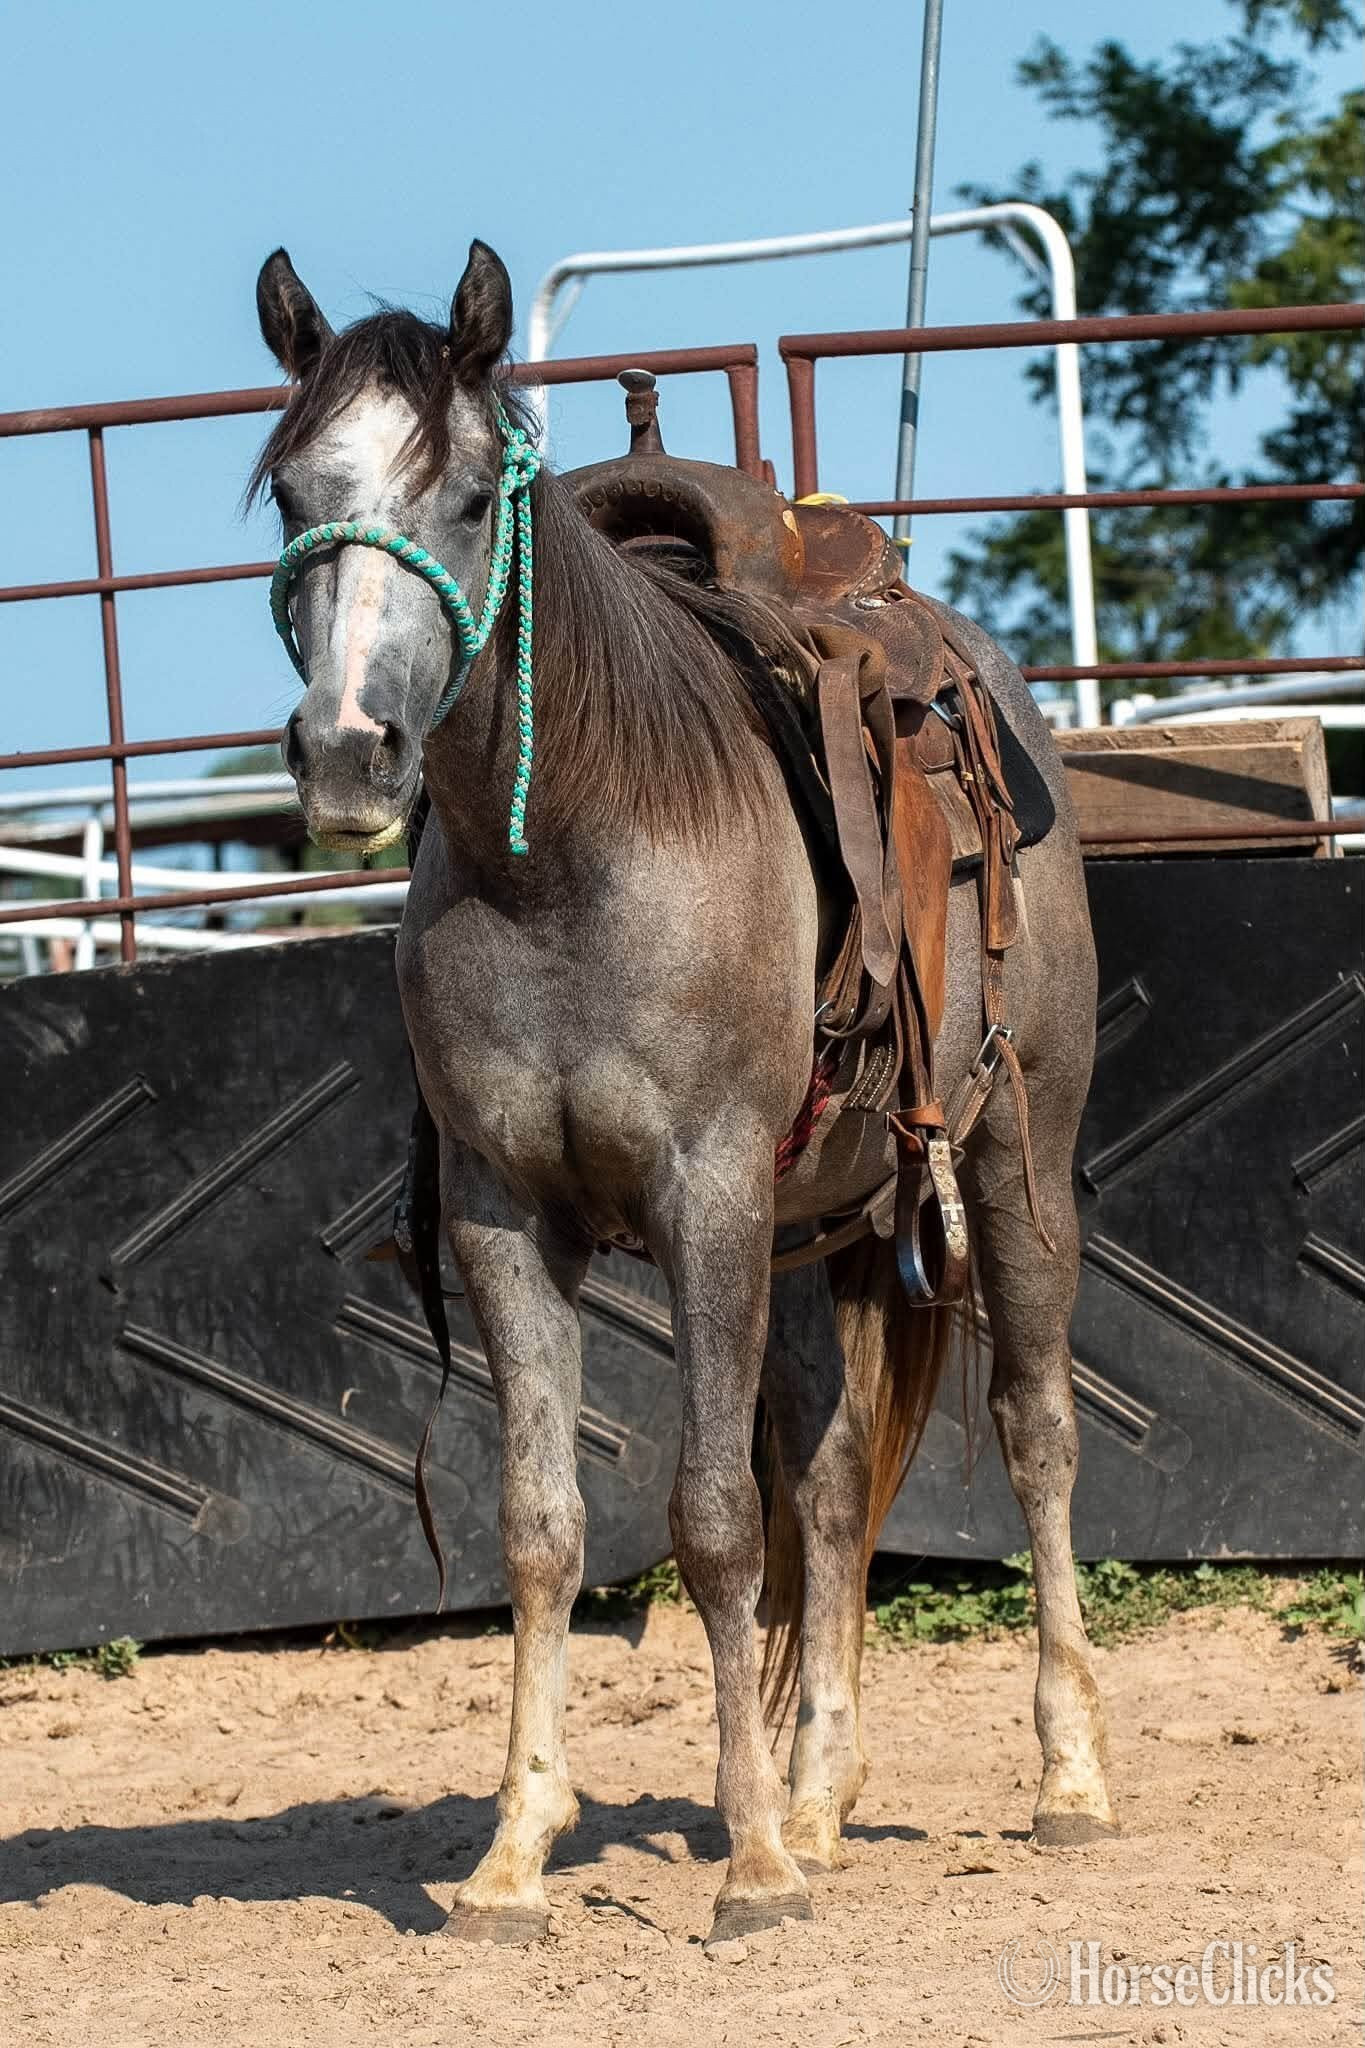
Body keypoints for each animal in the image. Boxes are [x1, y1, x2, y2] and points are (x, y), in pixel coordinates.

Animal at [250, 237, 1117, 1949]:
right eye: (292, 489)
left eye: (471, 498)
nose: (347, 755)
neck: (578, 851)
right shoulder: (506, 1221)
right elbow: (541, 1529)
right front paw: (515, 1855)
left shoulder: (703, 1192)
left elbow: (713, 1521)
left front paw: (752, 1866)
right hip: (816, 1229)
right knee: (837, 1481)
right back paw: (825, 1793)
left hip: (1010, 1153)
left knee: (1035, 1427)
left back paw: (1061, 1780)